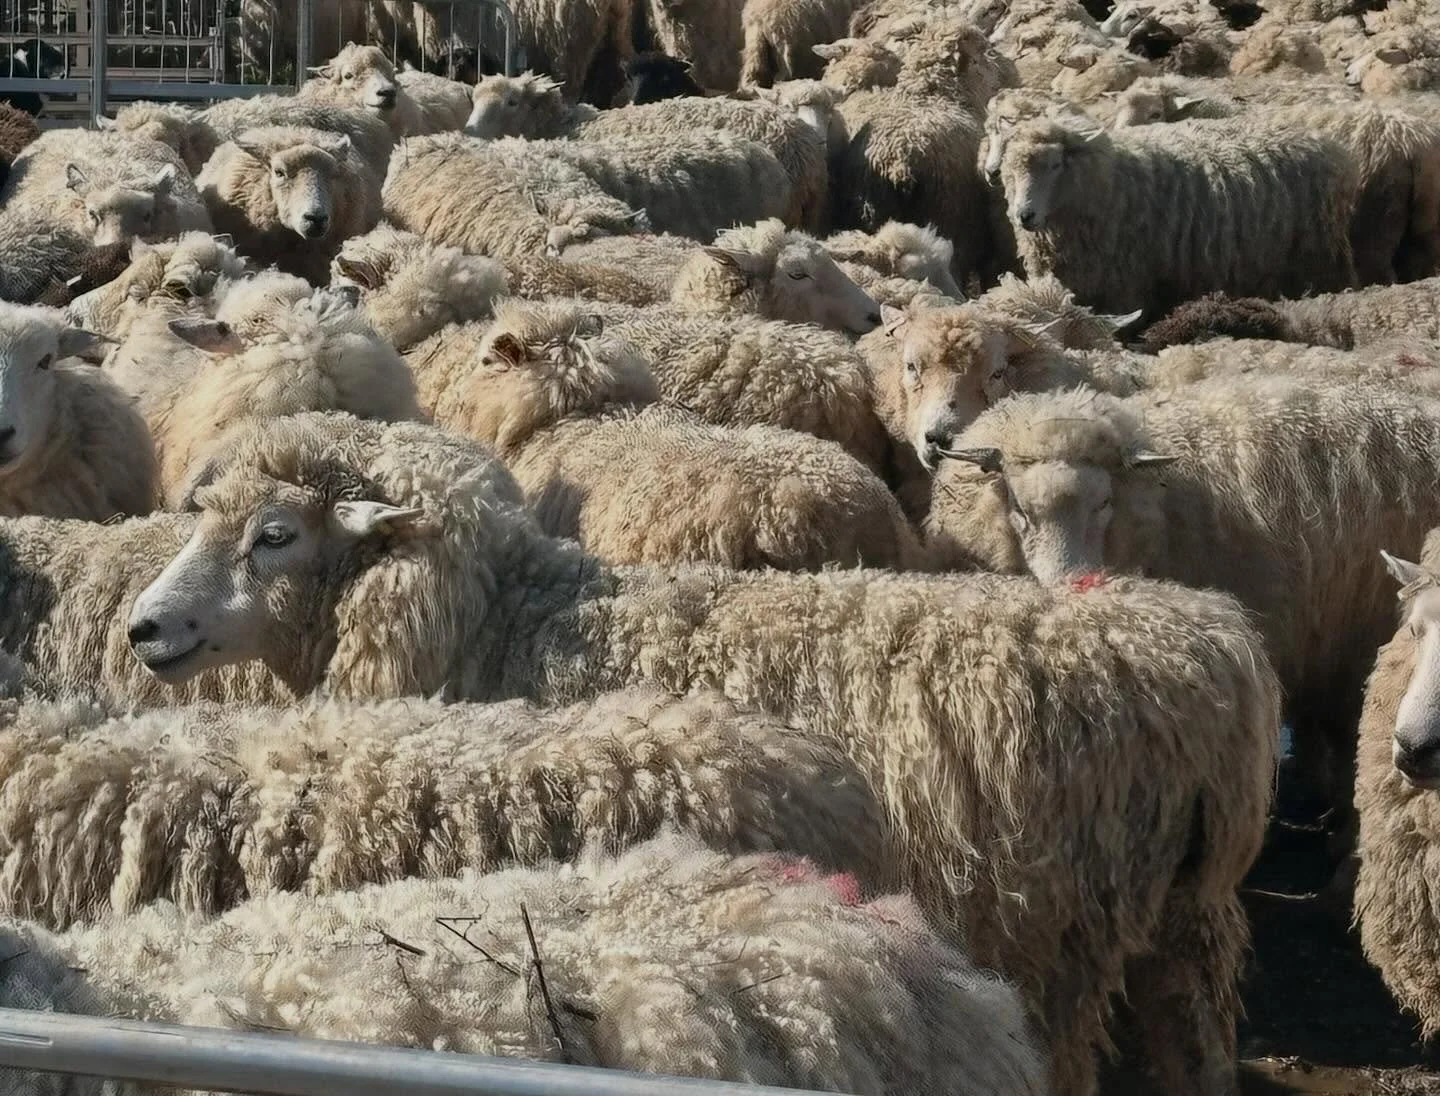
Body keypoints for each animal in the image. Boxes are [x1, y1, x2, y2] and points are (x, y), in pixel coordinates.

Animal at [121, 409, 1280, 1096]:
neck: (505, 614)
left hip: (1071, 925)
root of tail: (1210, 647)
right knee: (1197, 1039)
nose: (145, 628)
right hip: (1187, 914)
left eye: (274, 534)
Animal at [999, 116, 1359, 317]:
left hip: (1317, 253)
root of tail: (1329, 145)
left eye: (1055, 164)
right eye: (1010, 167)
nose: (1024, 215)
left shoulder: (1126, 286)